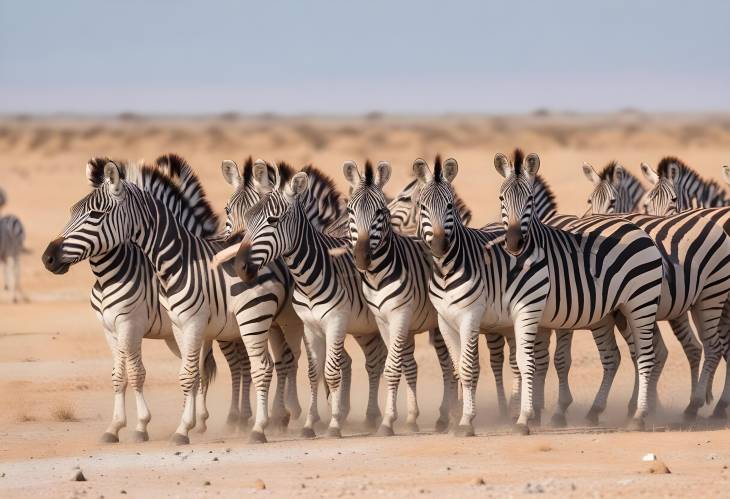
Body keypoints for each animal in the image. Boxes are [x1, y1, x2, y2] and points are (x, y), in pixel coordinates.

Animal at [42, 157, 302, 446]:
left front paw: (144, 426)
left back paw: (267, 422)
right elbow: (123, 376)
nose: (48, 258)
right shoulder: (114, 328)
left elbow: (141, 373)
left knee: (269, 364)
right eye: (71, 211)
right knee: (261, 364)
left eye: (95, 215)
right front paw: (115, 427)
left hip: (252, 320)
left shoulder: (133, 324)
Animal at [412, 153, 664, 438]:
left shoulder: (483, 315)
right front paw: (459, 420)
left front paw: (510, 420)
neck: (449, 268)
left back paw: (639, 416)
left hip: (641, 303)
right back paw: (605, 412)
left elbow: (502, 364)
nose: (439, 246)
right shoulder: (446, 320)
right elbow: (458, 368)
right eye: (422, 206)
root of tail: (634, 226)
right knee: (621, 356)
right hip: (615, 312)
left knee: (646, 356)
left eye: (449, 205)